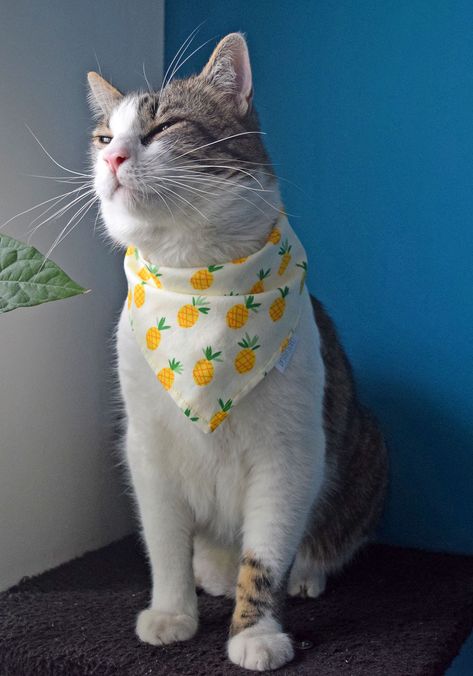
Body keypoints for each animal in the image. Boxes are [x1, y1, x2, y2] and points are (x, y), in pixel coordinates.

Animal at [86, 31, 386, 672]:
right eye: (103, 137)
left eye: (163, 125)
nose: (112, 159)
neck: (199, 283)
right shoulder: (147, 448)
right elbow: (164, 542)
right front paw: (172, 612)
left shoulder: (289, 455)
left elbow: (265, 555)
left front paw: (257, 632)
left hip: (368, 442)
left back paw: (306, 573)